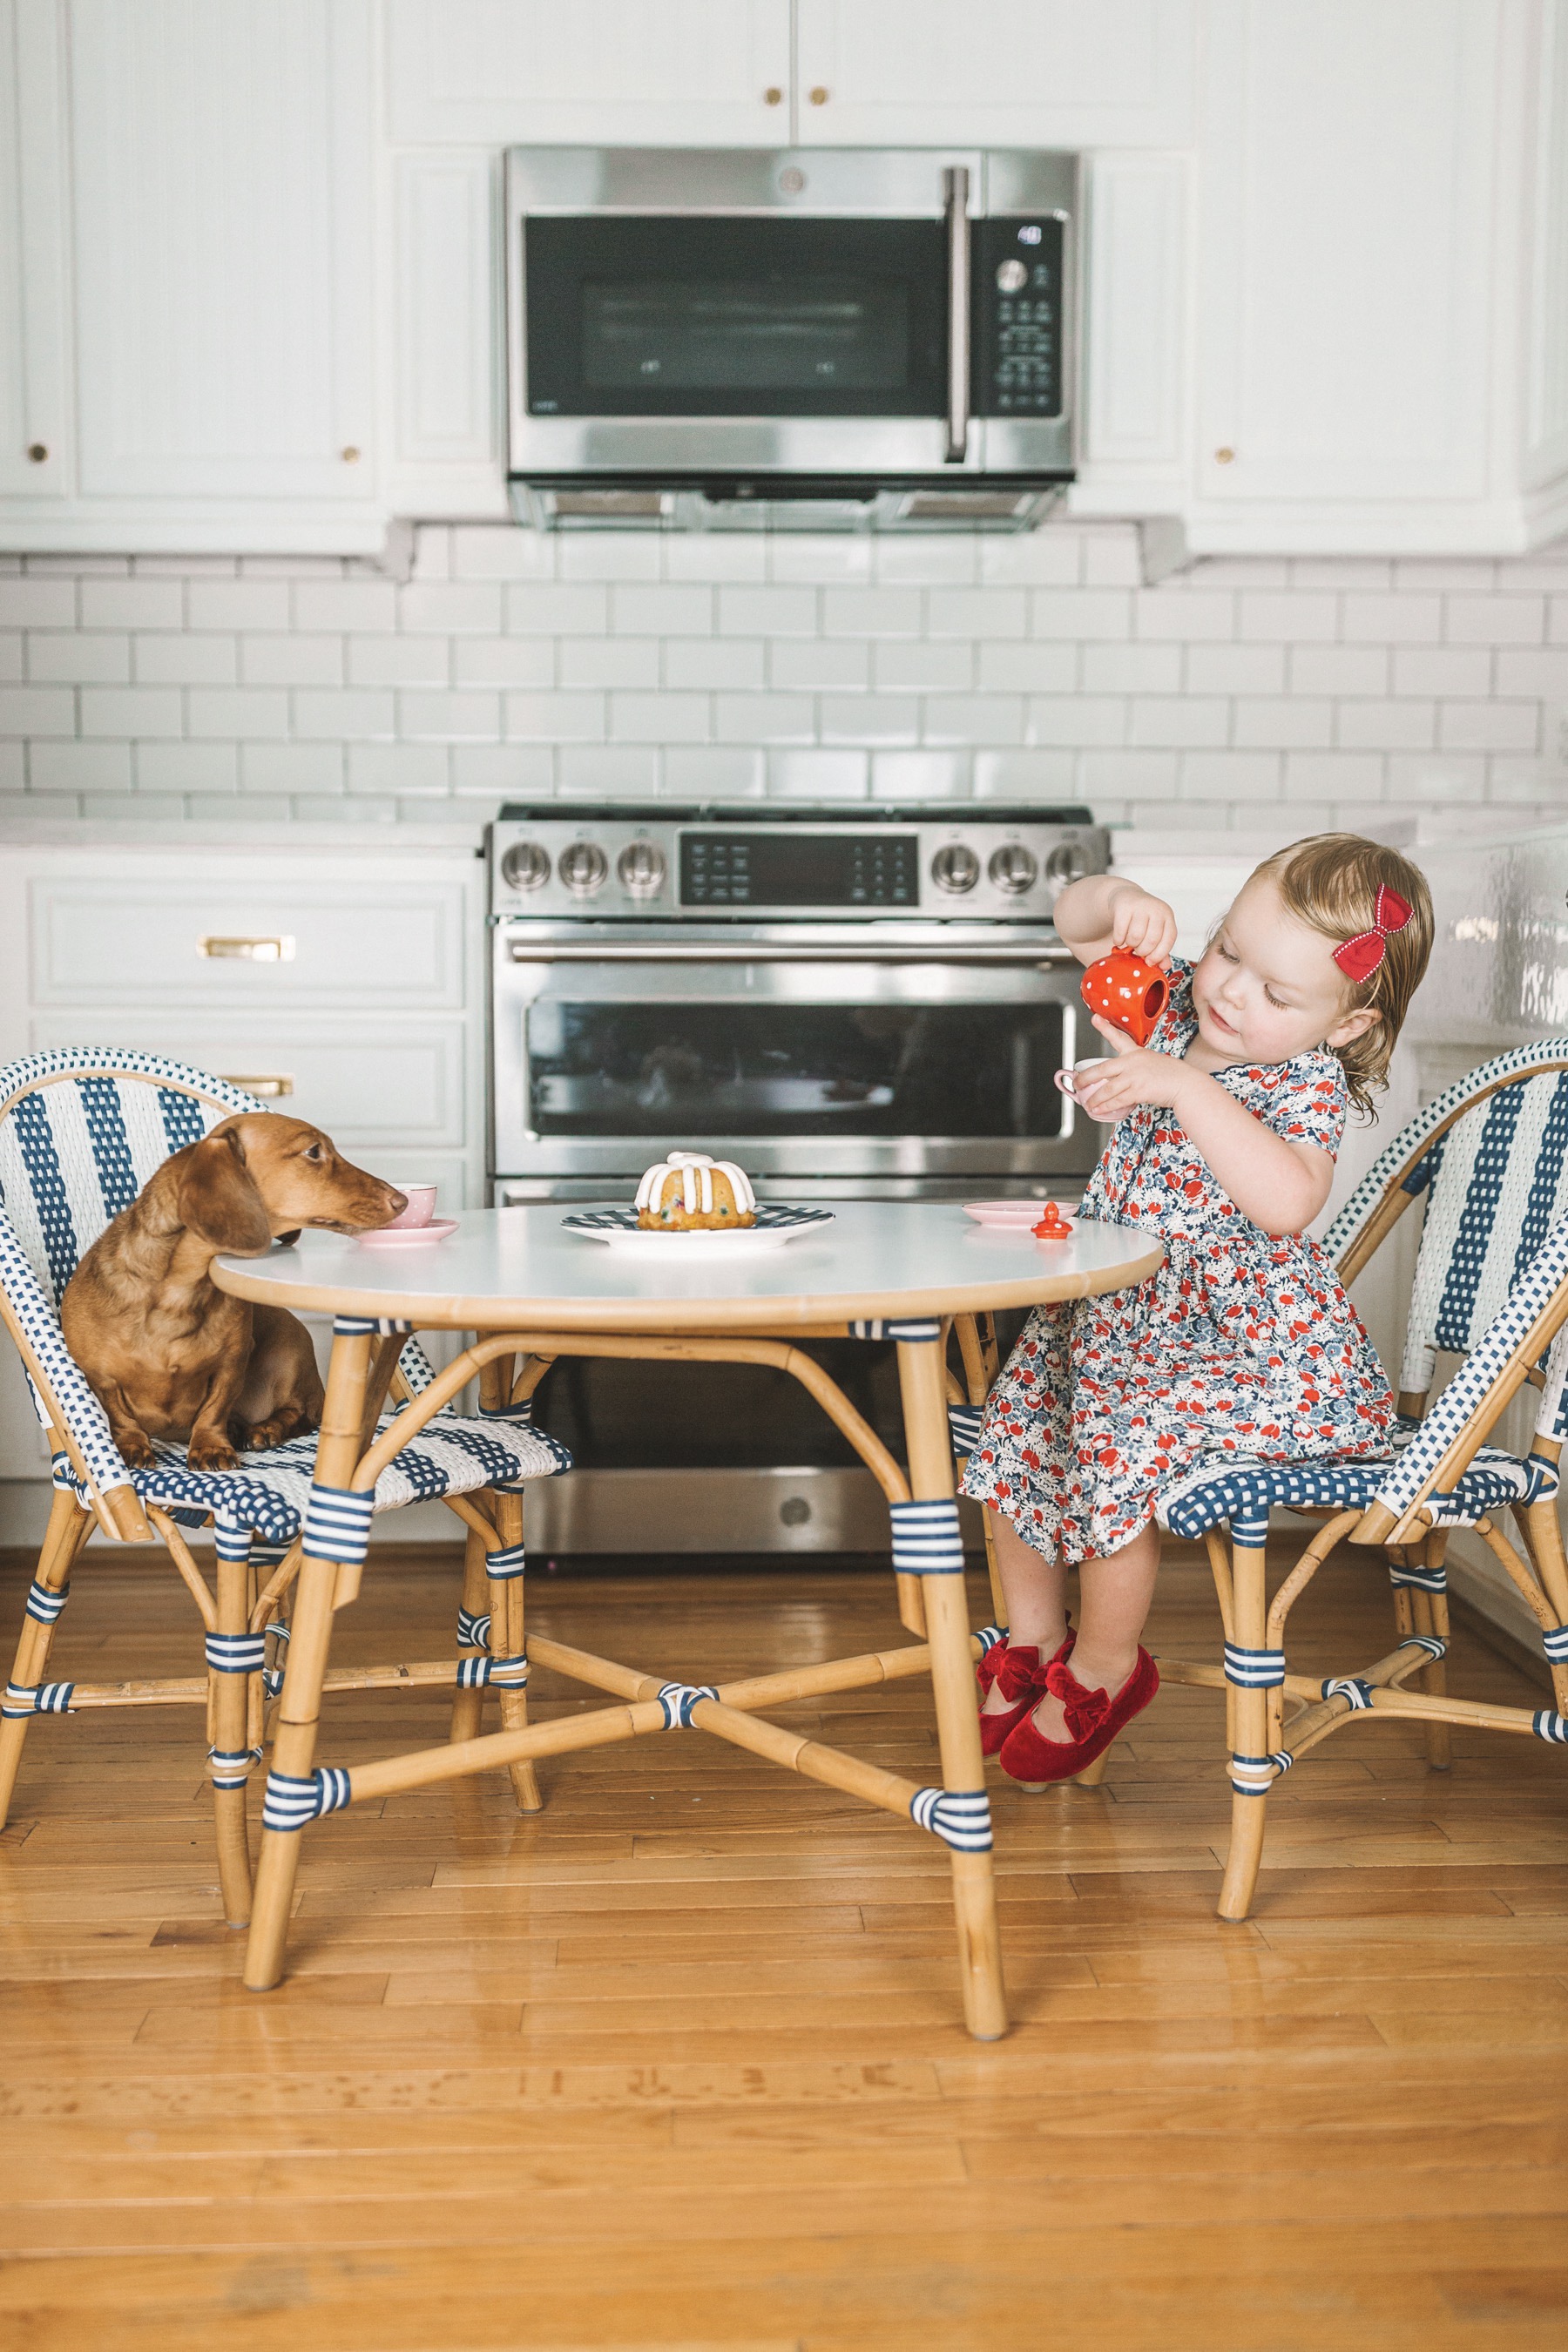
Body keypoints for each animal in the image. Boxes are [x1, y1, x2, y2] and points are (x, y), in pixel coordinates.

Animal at [62, 1114, 409, 1467]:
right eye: (313, 1151)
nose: (402, 1201)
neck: (179, 1295)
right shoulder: (101, 1378)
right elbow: (121, 1416)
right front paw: (132, 1445)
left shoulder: (230, 1366)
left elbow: (214, 1410)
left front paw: (211, 1446)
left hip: (290, 1352)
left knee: (297, 1412)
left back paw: (264, 1429)